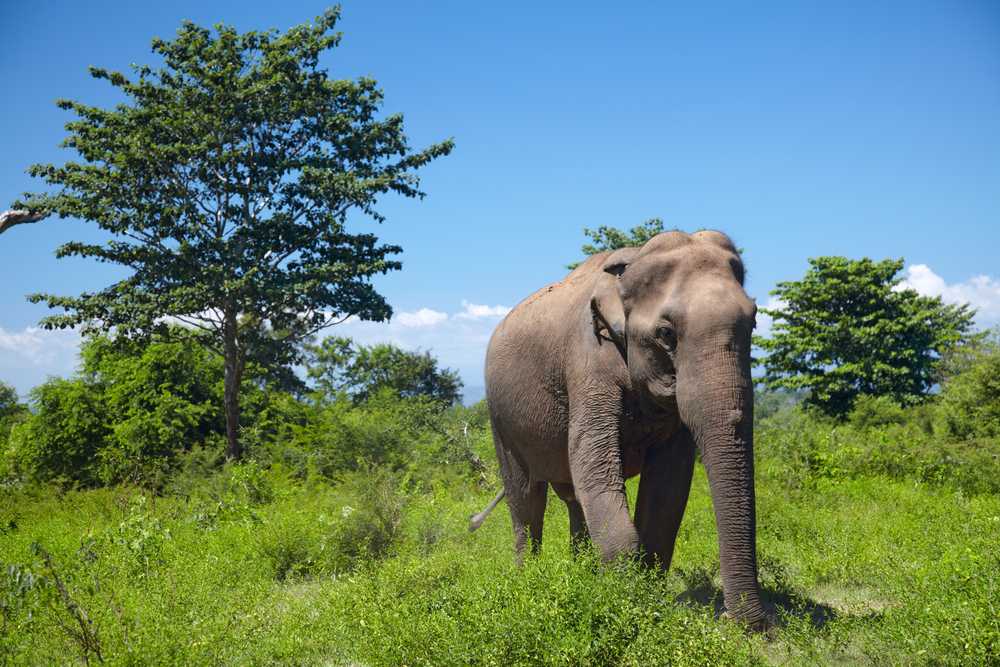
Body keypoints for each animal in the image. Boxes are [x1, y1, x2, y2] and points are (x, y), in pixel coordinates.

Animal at [472, 232, 768, 628]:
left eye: (753, 323)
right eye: (666, 334)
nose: (754, 628)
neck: (630, 264)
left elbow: (667, 488)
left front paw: (642, 597)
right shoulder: (587, 362)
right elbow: (594, 464)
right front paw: (632, 604)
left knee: (573, 500)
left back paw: (581, 573)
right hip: (500, 418)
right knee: (526, 500)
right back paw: (528, 579)